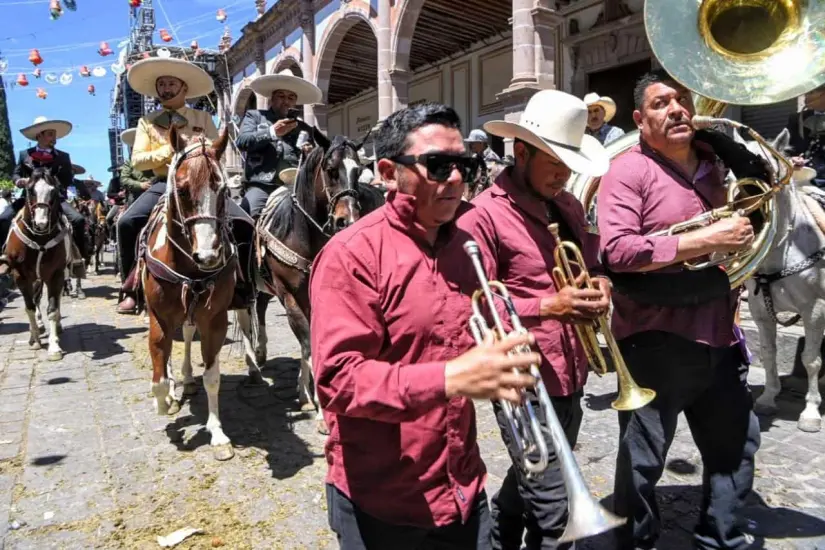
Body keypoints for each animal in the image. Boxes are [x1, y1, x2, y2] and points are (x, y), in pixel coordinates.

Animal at [4, 170, 69, 360]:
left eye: (53, 191)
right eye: (30, 190)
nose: (41, 224)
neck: (39, 239)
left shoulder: (56, 274)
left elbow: (53, 308)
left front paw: (54, 347)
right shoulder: (20, 277)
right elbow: (30, 308)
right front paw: (34, 340)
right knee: (35, 299)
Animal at [141, 125, 258, 462]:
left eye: (223, 190)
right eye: (181, 190)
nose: (208, 256)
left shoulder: (214, 319)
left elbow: (213, 376)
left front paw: (217, 432)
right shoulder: (159, 318)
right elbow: (158, 378)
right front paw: (164, 402)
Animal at [254, 136, 384, 434]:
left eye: (358, 171)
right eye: (331, 169)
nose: (347, 220)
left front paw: (307, 396)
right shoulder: (288, 294)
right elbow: (308, 345)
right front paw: (323, 414)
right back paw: (257, 355)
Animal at [732, 127, 824, 434]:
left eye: (760, 162)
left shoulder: (815, 310)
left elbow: (811, 360)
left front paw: (811, 412)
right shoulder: (761, 312)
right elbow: (768, 353)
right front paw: (768, 398)